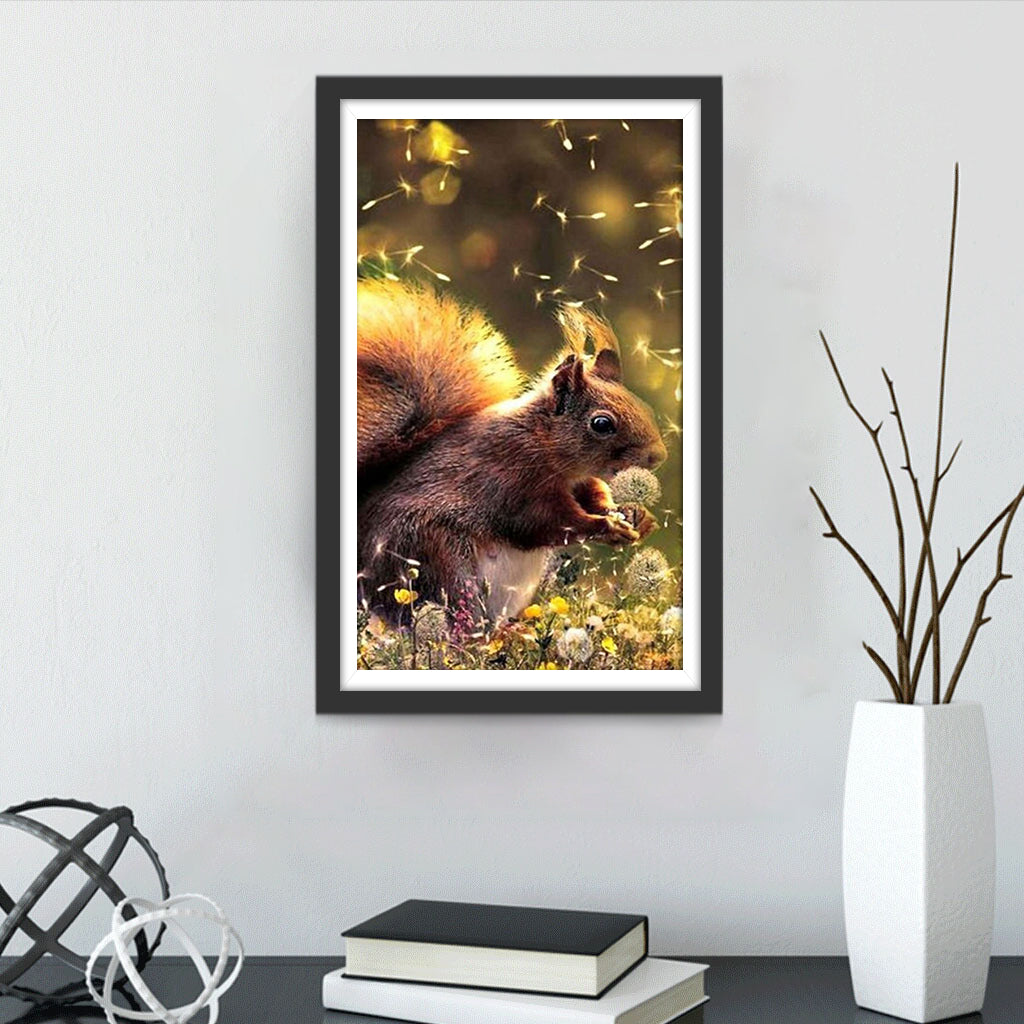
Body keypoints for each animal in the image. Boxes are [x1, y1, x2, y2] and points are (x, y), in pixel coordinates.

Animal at [357, 279, 668, 625]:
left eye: (645, 407)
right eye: (601, 423)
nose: (658, 456)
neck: (545, 443)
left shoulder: (582, 481)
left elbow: (595, 498)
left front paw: (637, 516)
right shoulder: (511, 480)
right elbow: (545, 523)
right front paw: (607, 527)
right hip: (436, 559)